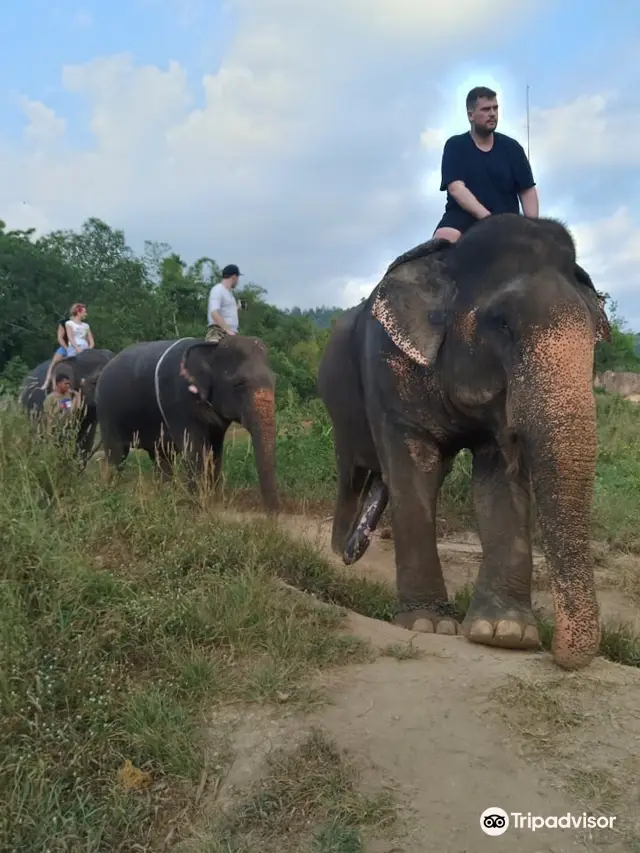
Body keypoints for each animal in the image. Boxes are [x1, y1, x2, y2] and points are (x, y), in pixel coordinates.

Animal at [94, 335, 280, 513]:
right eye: (239, 384)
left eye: (274, 380)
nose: (273, 512)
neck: (211, 348)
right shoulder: (178, 403)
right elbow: (194, 449)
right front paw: (199, 504)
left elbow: (215, 452)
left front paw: (213, 500)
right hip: (107, 410)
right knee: (117, 454)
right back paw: (111, 493)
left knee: (161, 456)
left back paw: (163, 495)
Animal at [317, 212, 612, 671]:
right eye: (503, 324)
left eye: (594, 333)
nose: (563, 656)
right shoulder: (389, 367)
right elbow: (413, 472)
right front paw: (427, 625)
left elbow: (497, 483)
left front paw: (505, 634)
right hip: (339, 402)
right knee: (353, 472)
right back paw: (336, 553)